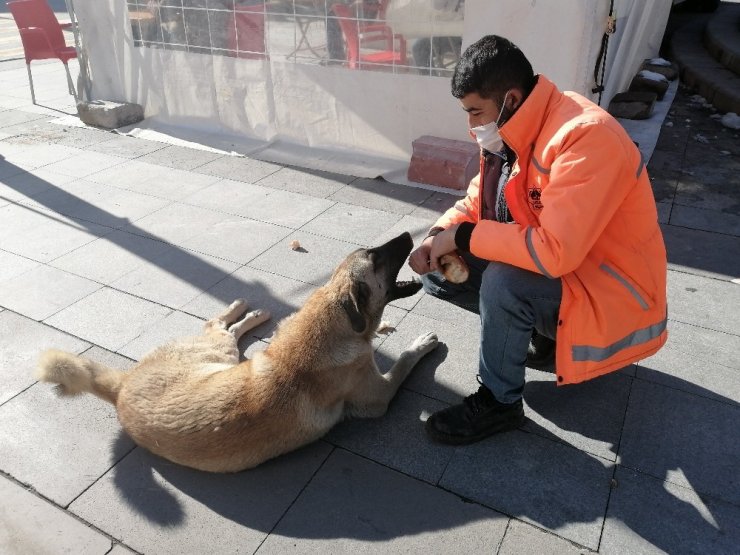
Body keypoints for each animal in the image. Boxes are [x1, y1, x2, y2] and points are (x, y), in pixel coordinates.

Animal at [34, 232, 440, 472]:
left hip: (224, 355)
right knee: (216, 325)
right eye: (376, 258)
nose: (410, 235)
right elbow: (404, 362)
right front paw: (420, 344)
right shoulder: (380, 396)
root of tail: (121, 386)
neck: (331, 318)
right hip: (219, 352)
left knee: (223, 328)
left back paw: (250, 310)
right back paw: (246, 309)